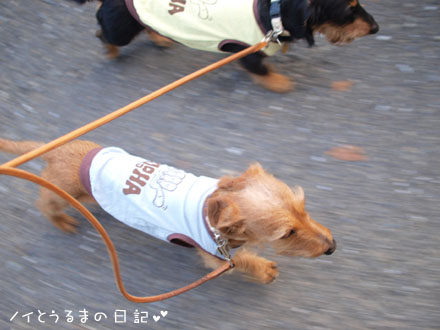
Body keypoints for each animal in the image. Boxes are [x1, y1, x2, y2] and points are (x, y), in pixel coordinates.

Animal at [0, 138, 336, 282]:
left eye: (303, 208)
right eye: (287, 233)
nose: (333, 247)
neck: (211, 211)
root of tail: (58, 148)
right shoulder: (214, 258)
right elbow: (239, 262)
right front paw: (262, 268)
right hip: (61, 193)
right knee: (44, 203)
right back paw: (61, 221)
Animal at [72, 0, 378, 91]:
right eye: (349, 10)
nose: (376, 28)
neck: (275, 12)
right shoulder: (247, 54)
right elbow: (262, 70)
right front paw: (281, 83)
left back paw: (159, 36)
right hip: (119, 30)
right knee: (103, 33)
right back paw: (111, 51)